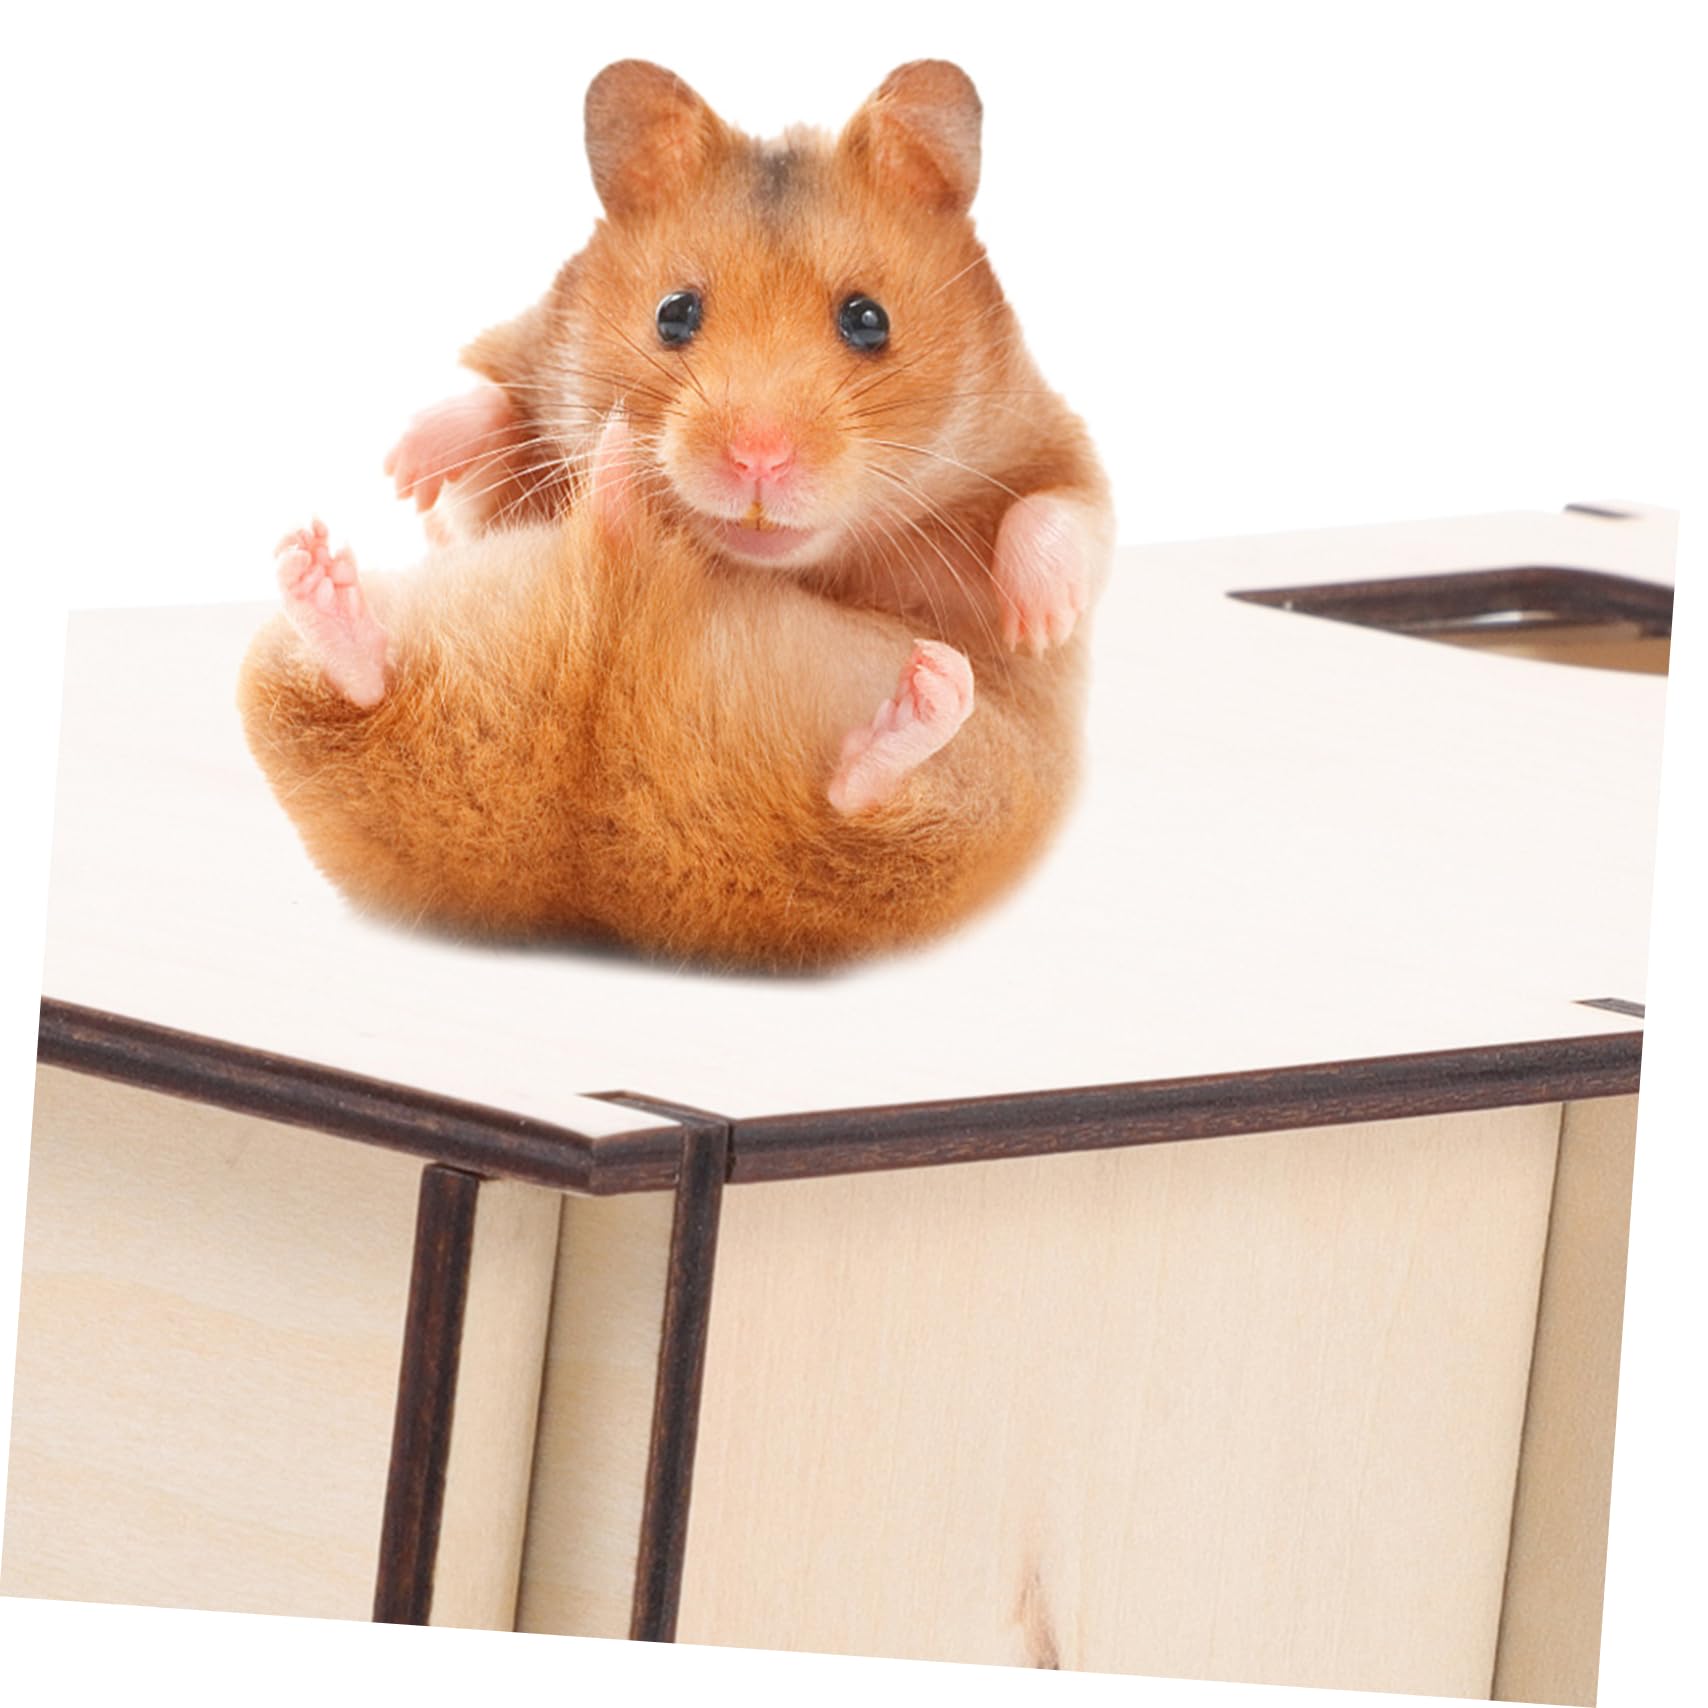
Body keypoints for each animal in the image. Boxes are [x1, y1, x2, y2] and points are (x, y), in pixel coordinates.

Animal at [239, 60, 1114, 970]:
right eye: (674, 312)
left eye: (868, 319)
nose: (758, 458)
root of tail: (603, 887)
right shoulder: (498, 455)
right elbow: (481, 427)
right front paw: (406, 465)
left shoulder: (1056, 444)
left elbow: (1060, 516)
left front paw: (1037, 622)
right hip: (296, 693)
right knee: (361, 688)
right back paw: (327, 571)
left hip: (967, 812)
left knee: (864, 804)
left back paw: (929, 690)